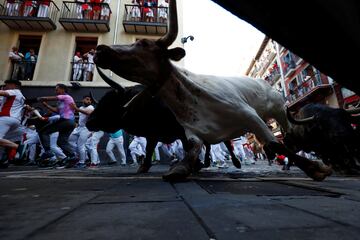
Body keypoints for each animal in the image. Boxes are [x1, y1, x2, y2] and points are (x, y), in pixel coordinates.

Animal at [93, 0, 332, 181]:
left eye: (143, 43)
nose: (100, 50)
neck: (190, 99)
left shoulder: (250, 116)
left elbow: (275, 144)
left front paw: (316, 169)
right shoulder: (192, 133)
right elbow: (191, 150)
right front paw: (181, 168)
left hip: (280, 111)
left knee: (289, 137)